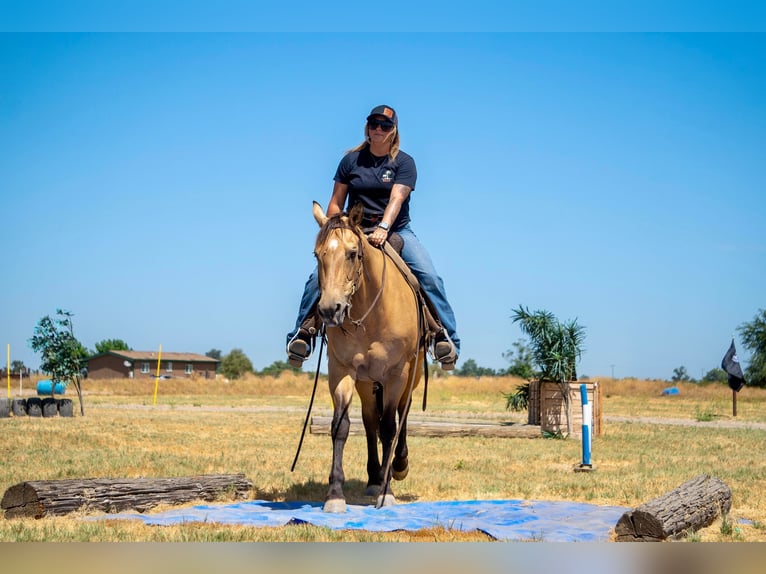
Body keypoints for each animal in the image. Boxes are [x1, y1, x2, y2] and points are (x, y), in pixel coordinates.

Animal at [311, 201, 425, 513]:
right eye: (317, 254)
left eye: (352, 253)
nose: (330, 310)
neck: (372, 312)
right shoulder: (342, 370)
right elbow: (341, 427)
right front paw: (335, 495)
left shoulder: (397, 373)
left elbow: (389, 427)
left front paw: (387, 492)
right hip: (366, 382)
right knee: (370, 419)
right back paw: (374, 477)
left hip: (412, 375)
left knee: (401, 414)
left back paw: (398, 466)